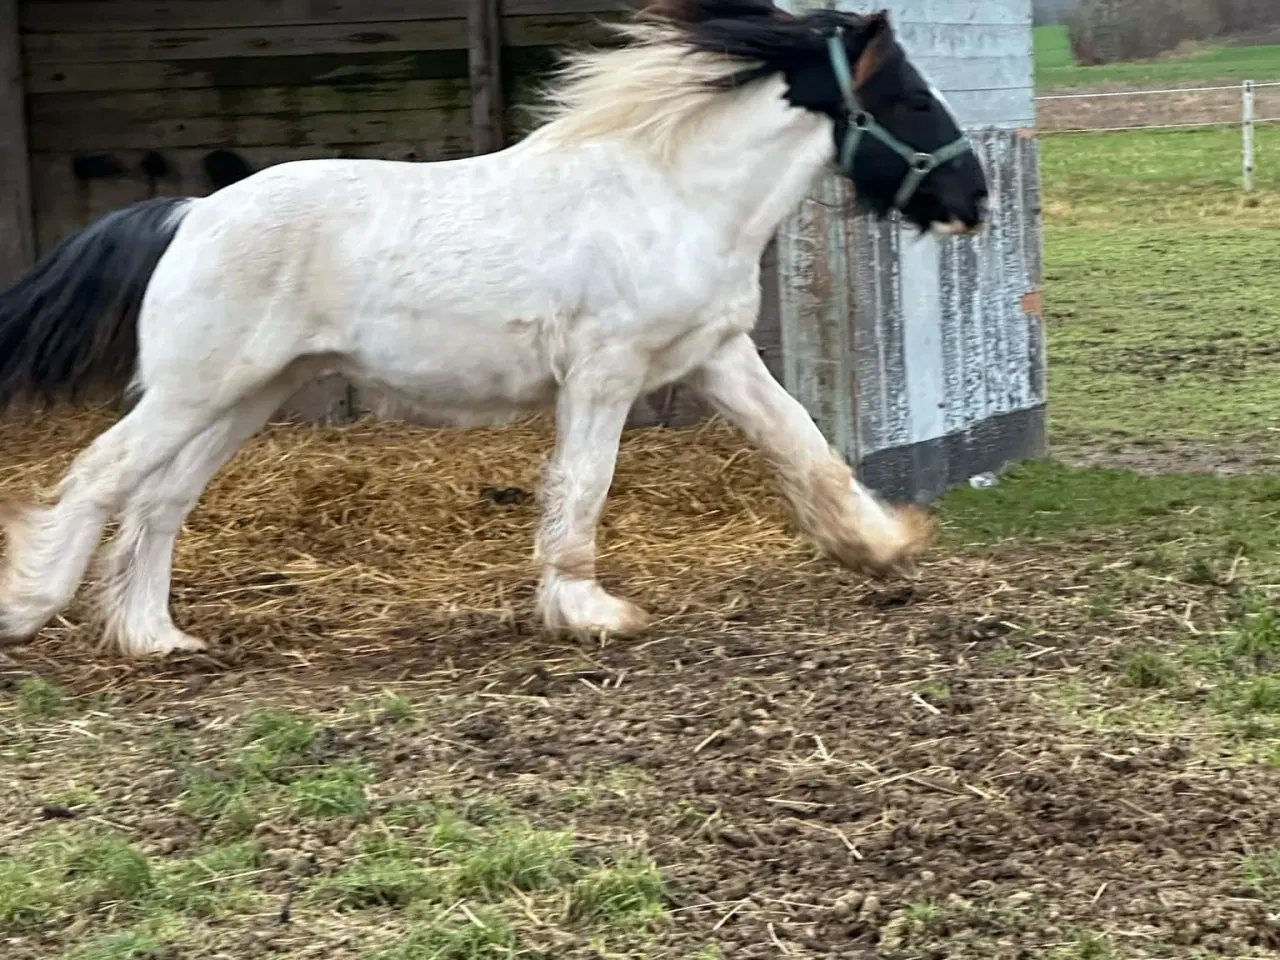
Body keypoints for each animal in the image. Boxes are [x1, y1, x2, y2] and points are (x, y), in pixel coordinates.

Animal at [0, 0, 988, 660]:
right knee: (98, 476)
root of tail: (191, 212)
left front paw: (884, 548)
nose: (973, 200)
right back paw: (29, 611)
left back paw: (156, 638)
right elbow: (584, 483)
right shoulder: (605, 370)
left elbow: (805, 446)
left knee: (160, 500)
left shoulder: (714, 356)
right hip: (195, 390)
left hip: (247, 395)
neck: (669, 197)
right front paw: (589, 611)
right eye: (912, 101)